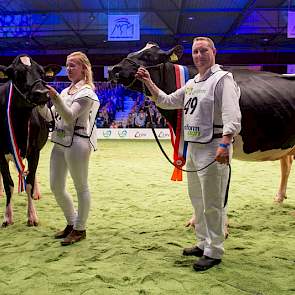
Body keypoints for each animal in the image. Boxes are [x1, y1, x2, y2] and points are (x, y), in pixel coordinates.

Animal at [0, 55, 60, 227]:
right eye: (17, 73)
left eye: (42, 72)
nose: (42, 93)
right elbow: (8, 184)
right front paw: (7, 217)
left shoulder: (34, 151)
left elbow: (29, 182)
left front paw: (32, 216)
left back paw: (36, 194)